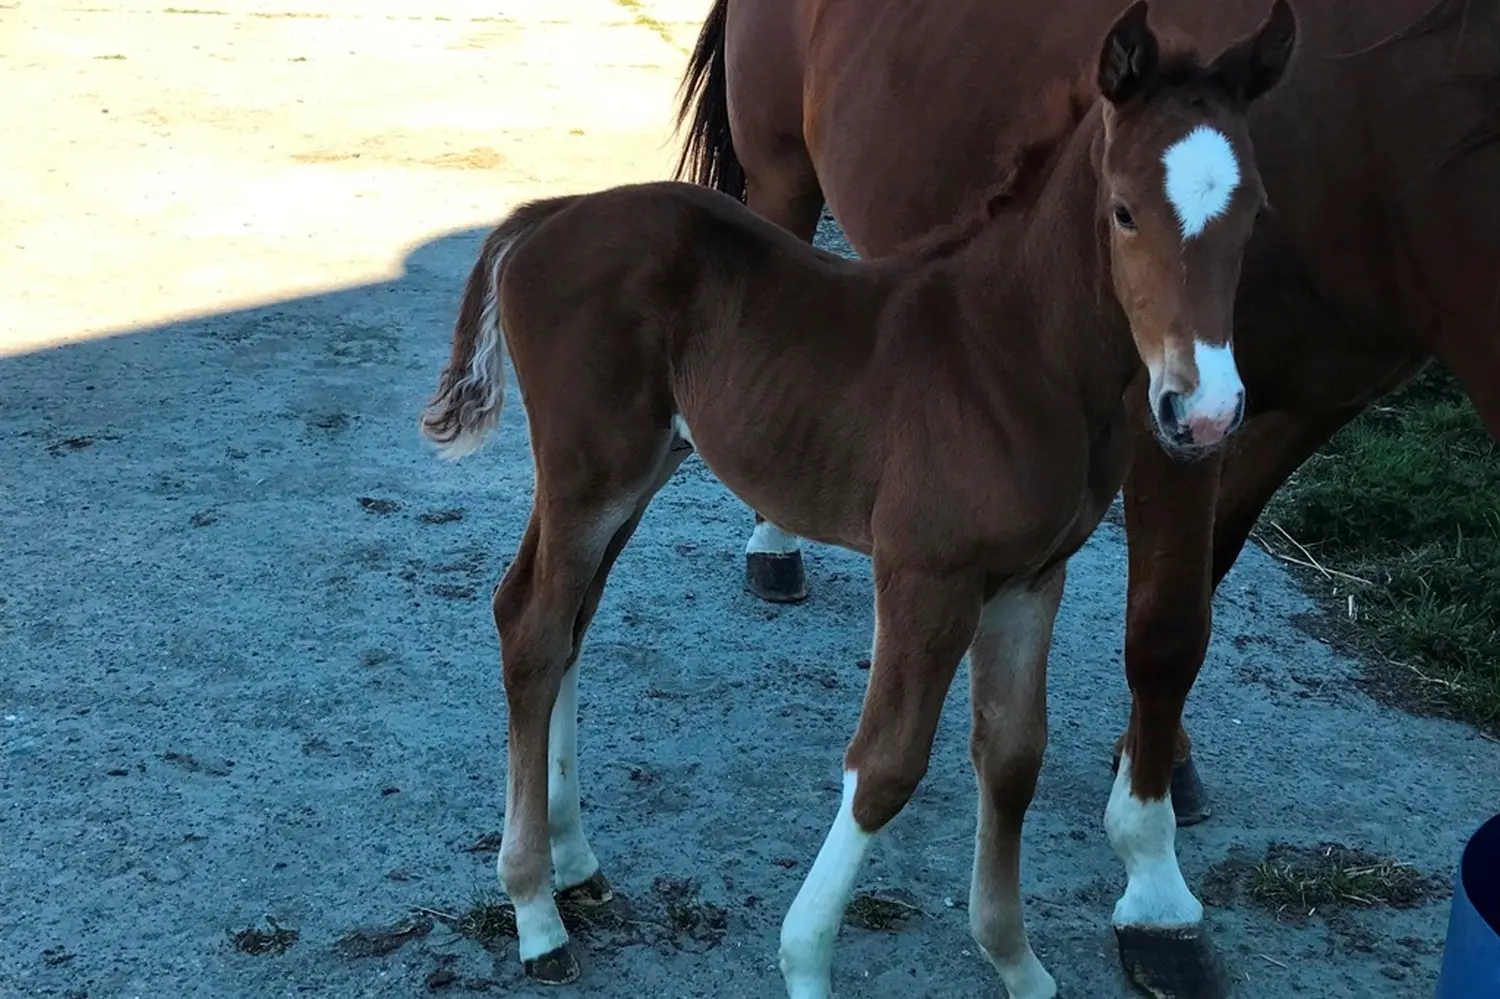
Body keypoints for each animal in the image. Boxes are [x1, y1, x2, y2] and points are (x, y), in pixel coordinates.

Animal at [420, 4, 1297, 996]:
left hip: (635, 470)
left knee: (567, 621)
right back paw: (536, 910)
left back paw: (575, 862)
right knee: (534, 626)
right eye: (1123, 210)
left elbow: (1013, 756)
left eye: (1255, 213)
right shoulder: (926, 575)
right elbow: (885, 767)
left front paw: (1017, 961)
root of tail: (545, 216)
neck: (1015, 354)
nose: (1206, 409)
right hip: (587, 470)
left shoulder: (1032, 578)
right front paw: (805, 958)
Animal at [674, 0, 1500, 988]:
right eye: (1126, 214)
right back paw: (774, 544)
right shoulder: (1167, 415)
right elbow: (1166, 630)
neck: (1379, 126)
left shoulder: (1289, 410)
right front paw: (1155, 891)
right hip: (782, 177)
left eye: (1259, 214)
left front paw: (1161, 764)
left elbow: (1204, 583)